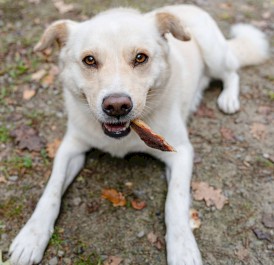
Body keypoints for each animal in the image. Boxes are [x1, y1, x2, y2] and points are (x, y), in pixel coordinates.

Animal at [8, 4, 268, 264]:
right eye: (89, 60)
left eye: (140, 57)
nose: (116, 106)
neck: (121, 138)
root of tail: (185, 6)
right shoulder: (70, 146)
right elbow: (51, 190)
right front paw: (31, 236)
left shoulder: (181, 152)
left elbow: (175, 201)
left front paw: (183, 248)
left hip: (214, 53)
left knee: (232, 72)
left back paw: (229, 98)